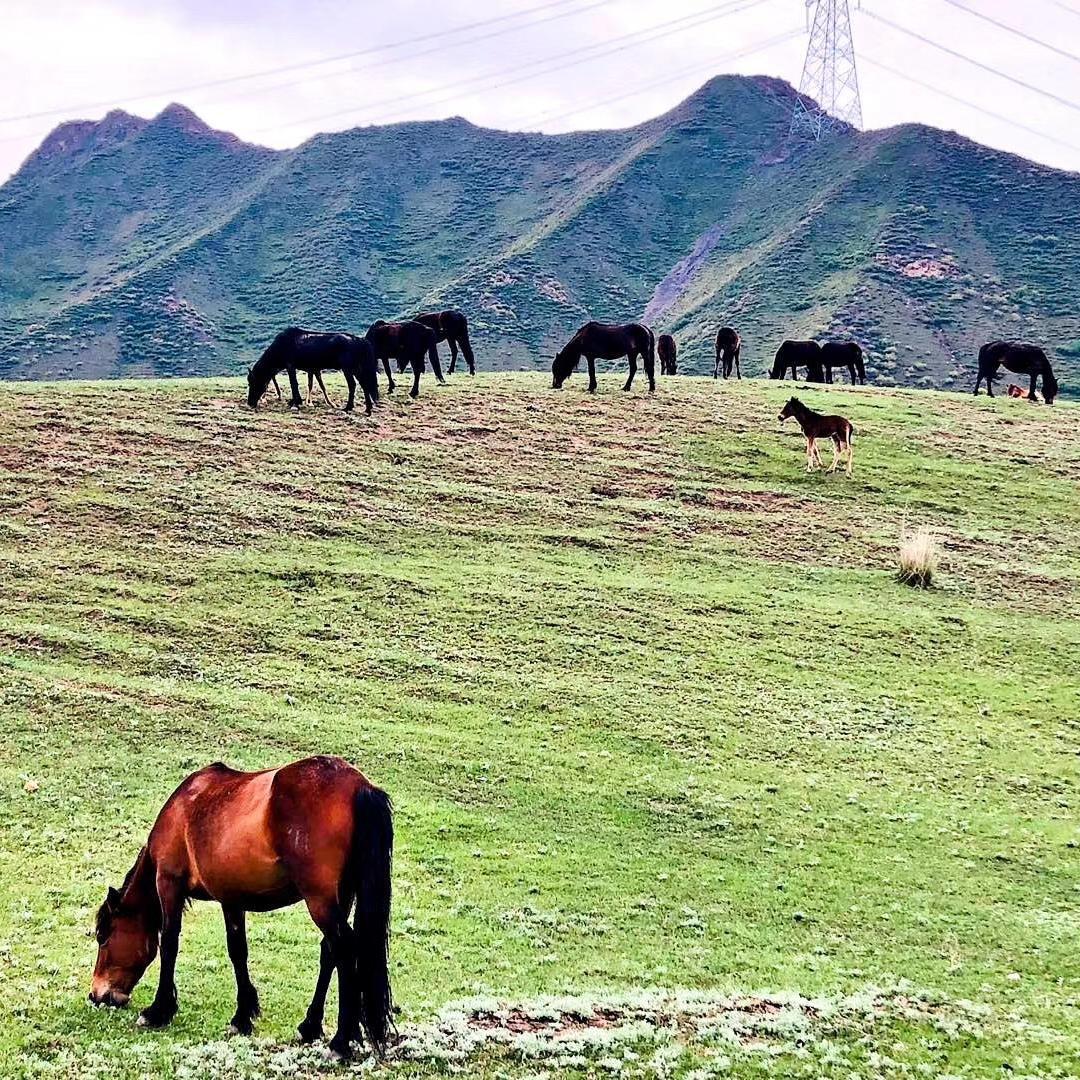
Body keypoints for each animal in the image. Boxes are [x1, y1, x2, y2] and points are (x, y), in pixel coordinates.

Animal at [88, 756, 393, 1058]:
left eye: (103, 936)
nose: (96, 994)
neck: (183, 808)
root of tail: (359, 786)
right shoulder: (231, 900)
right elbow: (238, 952)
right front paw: (242, 1016)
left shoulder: (169, 883)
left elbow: (170, 945)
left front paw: (158, 1011)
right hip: (341, 896)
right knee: (330, 952)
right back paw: (310, 1026)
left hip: (320, 901)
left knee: (344, 949)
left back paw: (341, 1042)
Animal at [247, 326, 380, 414]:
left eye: (252, 382)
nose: (250, 403)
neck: (282, 345)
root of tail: (358, 339)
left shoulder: (291, 366)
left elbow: (293, 384)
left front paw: (296, 403)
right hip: (356, 369)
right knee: (364, 385)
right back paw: (367, 408)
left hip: (348, 369)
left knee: (353, 385)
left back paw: (348, 407)